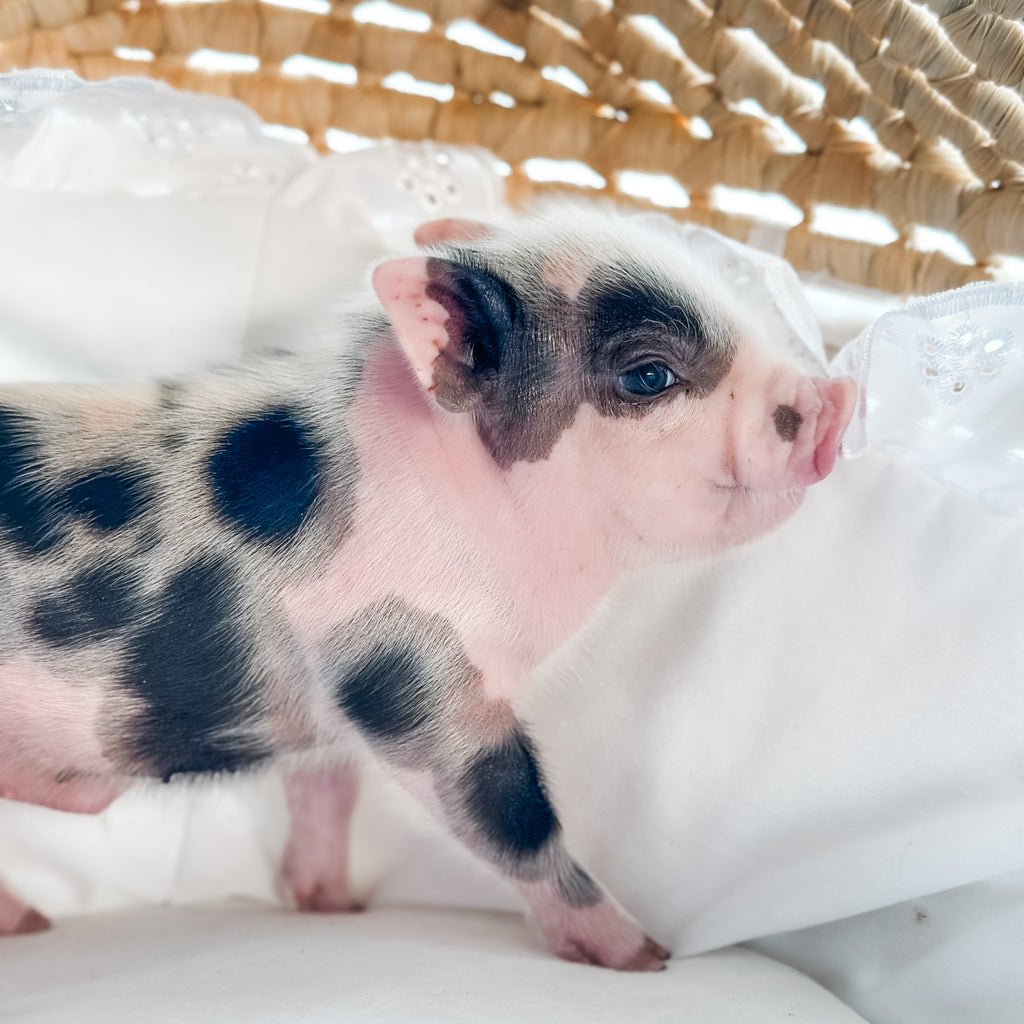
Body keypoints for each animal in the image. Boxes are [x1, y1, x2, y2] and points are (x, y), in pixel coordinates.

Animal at [0, 205, 856, 970]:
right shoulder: (409, 672)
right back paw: (33, 925)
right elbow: (512, 814)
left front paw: (334, 909)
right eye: (649, 374)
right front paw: (644, 958)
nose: (837, 400)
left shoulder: (332, 704)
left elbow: (327, 791)